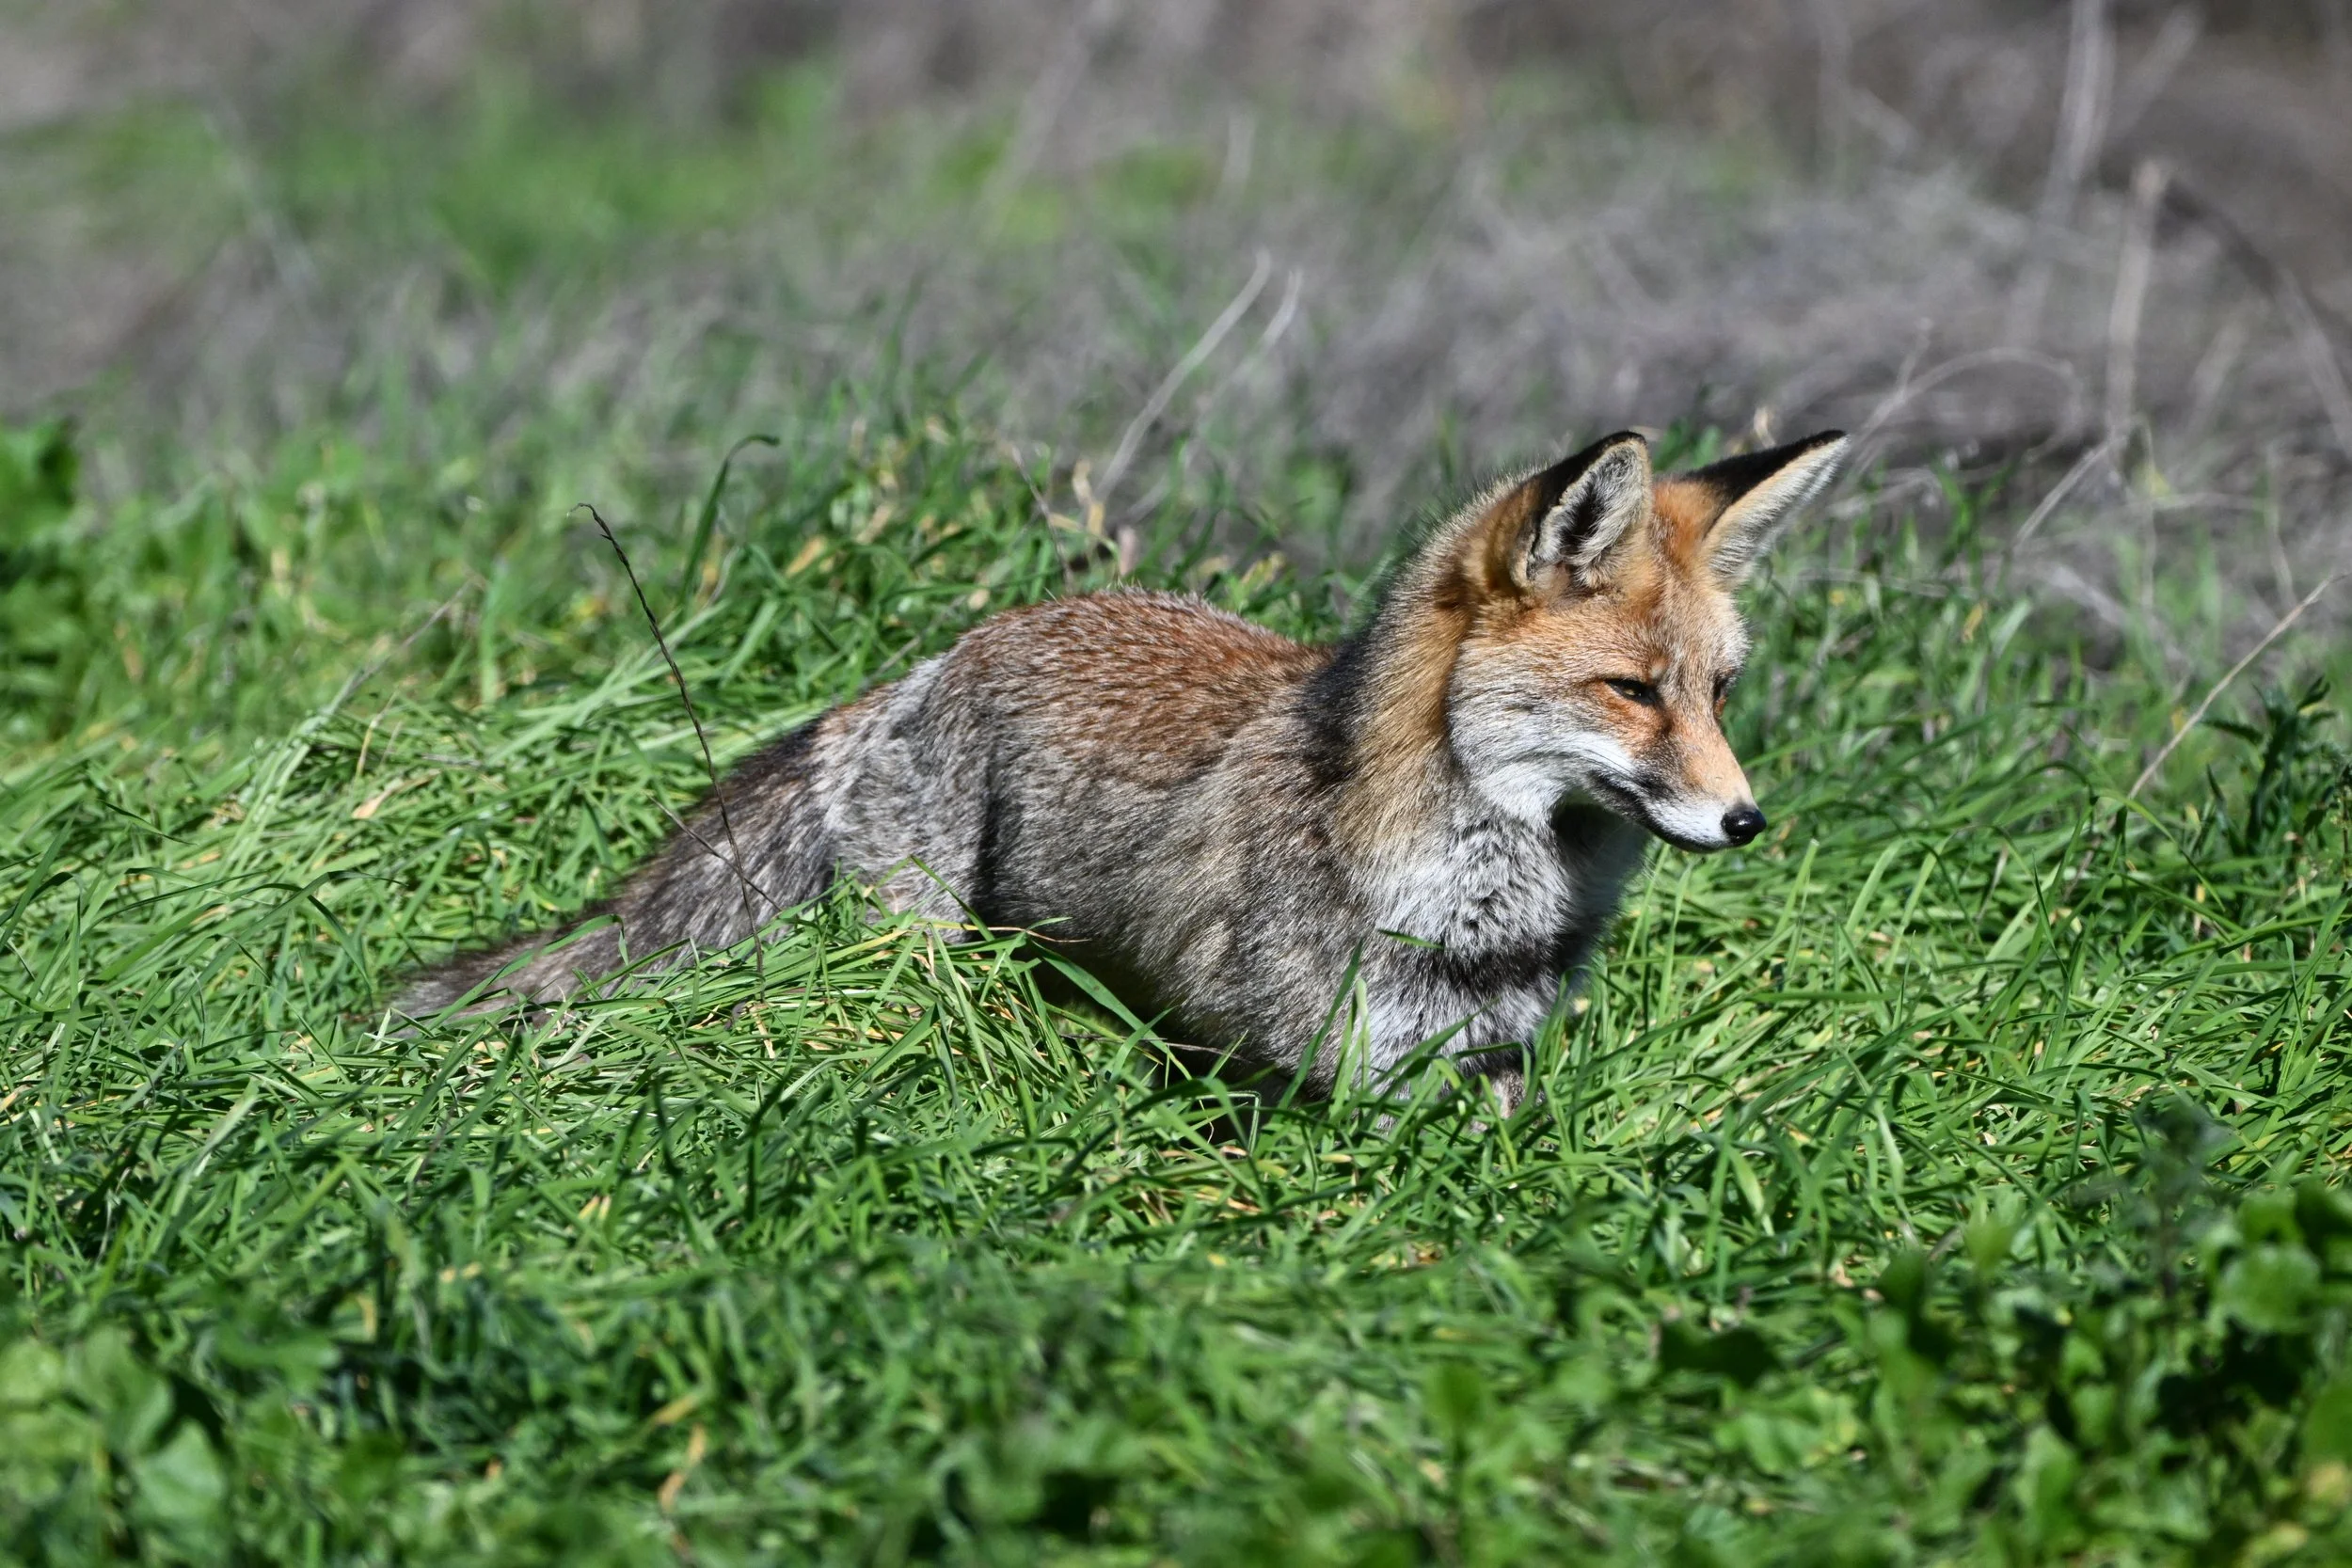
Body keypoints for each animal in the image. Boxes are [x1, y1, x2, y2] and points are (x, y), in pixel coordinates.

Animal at [399, 428, 1847, 1110]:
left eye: (1718, 691)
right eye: (1631, 690)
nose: (1748, 818)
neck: (1485, 911)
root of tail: (947, 650)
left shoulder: (1489, 1070)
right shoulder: (1315, 1079)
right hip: (923, 948)